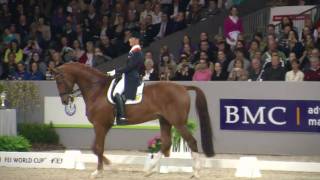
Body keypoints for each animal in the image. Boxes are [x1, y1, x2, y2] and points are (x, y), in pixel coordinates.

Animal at [52, 62, 214, 178]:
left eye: (59, 80)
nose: (65, 101)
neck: (97, 89)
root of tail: (183, 87)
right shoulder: (104, 126)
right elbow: (95, 148)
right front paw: (108, 167)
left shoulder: (100, 125)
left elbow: (97, 148)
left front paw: (101, 171)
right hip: (165, 121)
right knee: (166, 143)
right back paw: (149, 170)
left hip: (178, 122)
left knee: (191, 141)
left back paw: (196, 172)